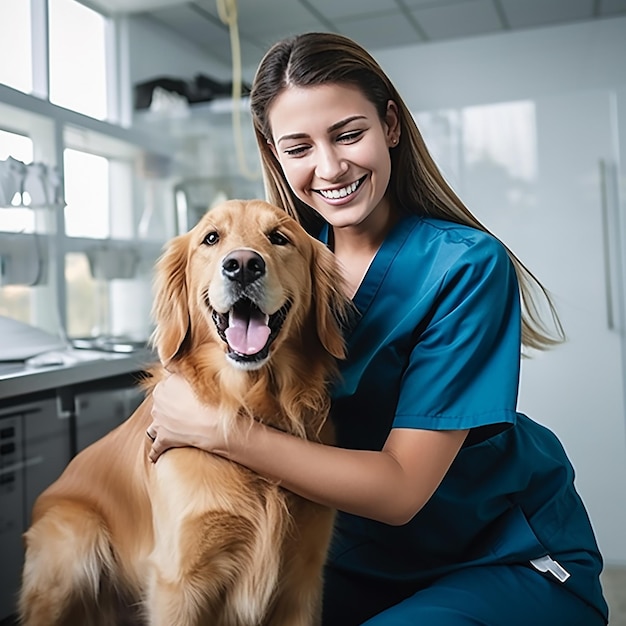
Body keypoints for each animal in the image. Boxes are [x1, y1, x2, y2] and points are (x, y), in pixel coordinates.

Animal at [19, 197, 348, 620]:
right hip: (75, 540)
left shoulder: (303, 582)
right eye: (211, 238)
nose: (243, 265)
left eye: (279, 237)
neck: (247, 406)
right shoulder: (179, 582)